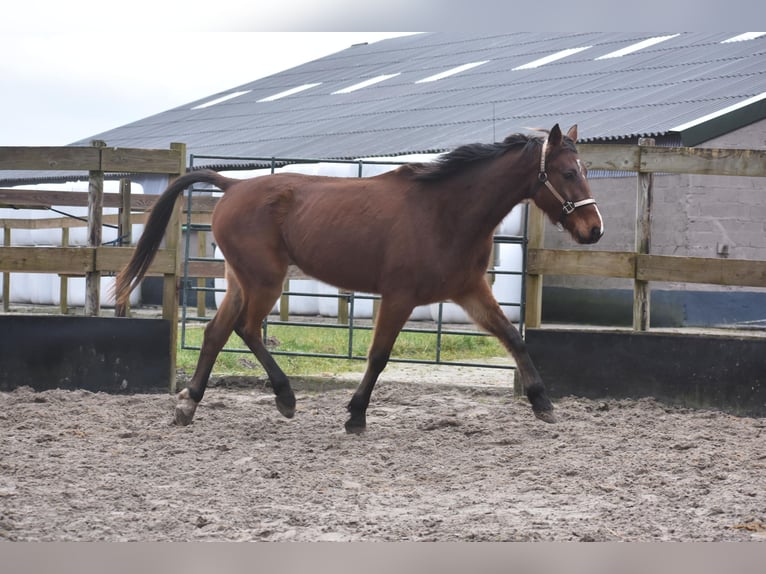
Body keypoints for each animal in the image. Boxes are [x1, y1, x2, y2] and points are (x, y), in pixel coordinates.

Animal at [114, 124, 608, 434]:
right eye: (568, 173)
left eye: (586, 172)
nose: (594, 230)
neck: (445, 211)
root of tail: (234, 185)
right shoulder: (400, 296)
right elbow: (379, 356)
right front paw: (355, 416)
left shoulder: (469, 290)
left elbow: (513, 337)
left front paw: (543, 404)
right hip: (265, 280)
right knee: (246, 329)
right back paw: (285, 398)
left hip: (241, 280)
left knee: (217, 333)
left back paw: (188, 404)